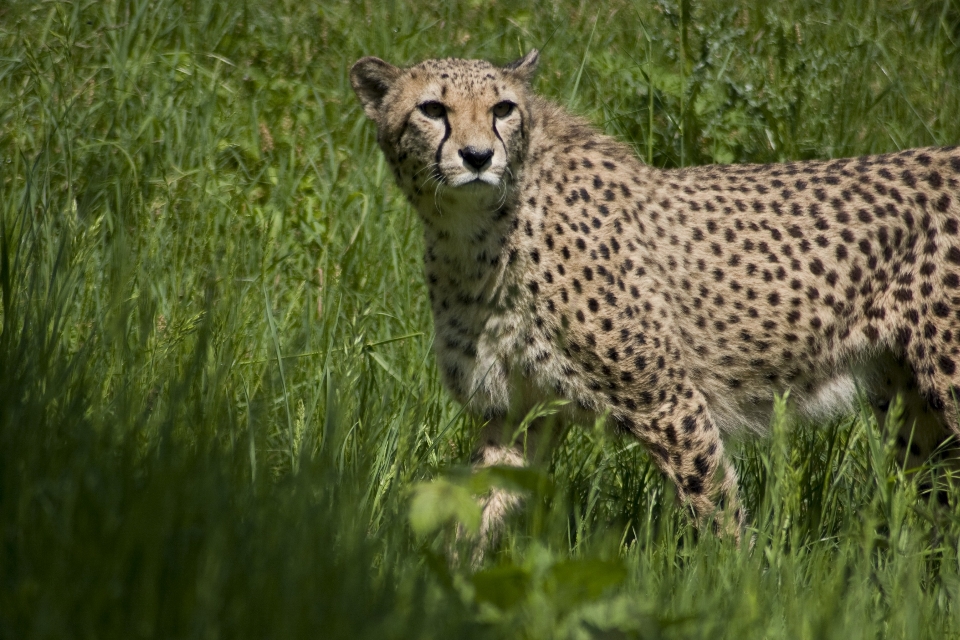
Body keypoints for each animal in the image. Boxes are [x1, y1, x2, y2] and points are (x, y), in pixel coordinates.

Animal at [350, 48, 960, 540]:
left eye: (503, 108)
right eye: (433, 110)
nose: (478, 157)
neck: (474, 233)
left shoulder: (667, 398)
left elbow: (714, 508)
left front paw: (739, 585)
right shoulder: (517, 408)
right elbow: (478, 504)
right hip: (910, 404)